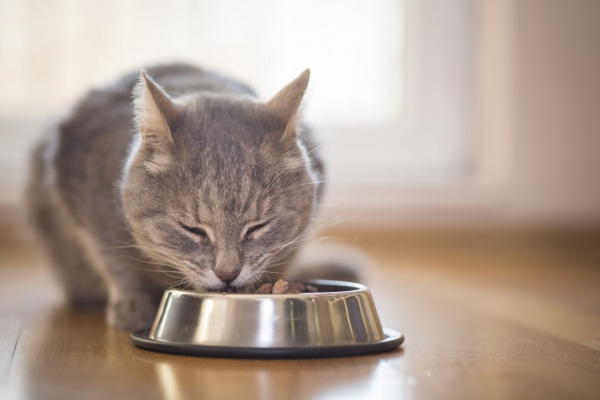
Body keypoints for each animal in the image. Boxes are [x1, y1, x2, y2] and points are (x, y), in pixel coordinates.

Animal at [26, 64, 326, 330]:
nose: (227, 274)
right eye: (192, 229)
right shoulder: (85, 201)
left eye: (257, 227)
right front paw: (131, 302)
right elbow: (113, 259)